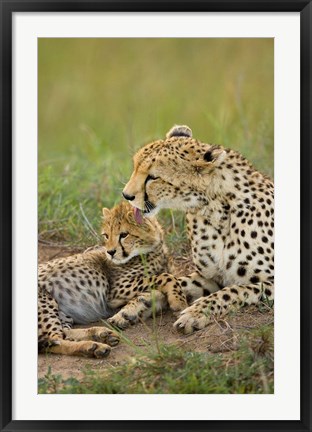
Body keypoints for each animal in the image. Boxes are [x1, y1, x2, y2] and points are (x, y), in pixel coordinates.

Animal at [123, 125, 274, 334]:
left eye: (153, 177)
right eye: (135, 167)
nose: (126, 195)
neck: (214, 209)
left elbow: (234, 291)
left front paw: (195, 314)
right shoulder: (211, 277)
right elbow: (178, 281)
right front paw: (135, 305)